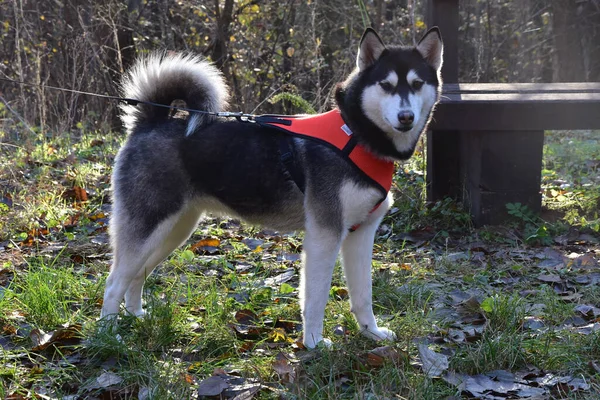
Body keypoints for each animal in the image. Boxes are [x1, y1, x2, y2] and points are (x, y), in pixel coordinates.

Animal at [101, 28, 442, 348]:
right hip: (150, 227)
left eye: (416, 84)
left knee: (137, 274)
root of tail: (151, 121)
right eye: (386, 85)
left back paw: (135, 314)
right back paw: (108, 336)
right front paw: (313, 343)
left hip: (174, 230)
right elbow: (315, 298)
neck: (356, 135)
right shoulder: (325, 235)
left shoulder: (360, 235)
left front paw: (371, 333)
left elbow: (363, 295)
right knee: (114, 281)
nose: (406, 117)